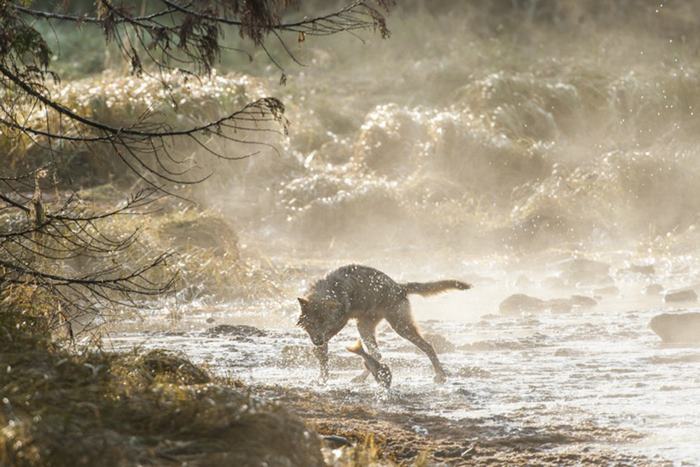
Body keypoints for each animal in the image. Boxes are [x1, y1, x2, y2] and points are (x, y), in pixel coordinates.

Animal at [296, 264, 471, 383]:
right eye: (312, 323)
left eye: (324, 323)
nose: (317, 340)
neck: (330, 289)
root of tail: (400, 286)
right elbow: (323, 356)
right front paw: (322, 376)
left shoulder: (340, 322)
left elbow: (324, 346)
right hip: (364, 328)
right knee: (376, 355)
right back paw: (361, 378)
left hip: (400, 327)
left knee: (428, 346)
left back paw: (440, 375)